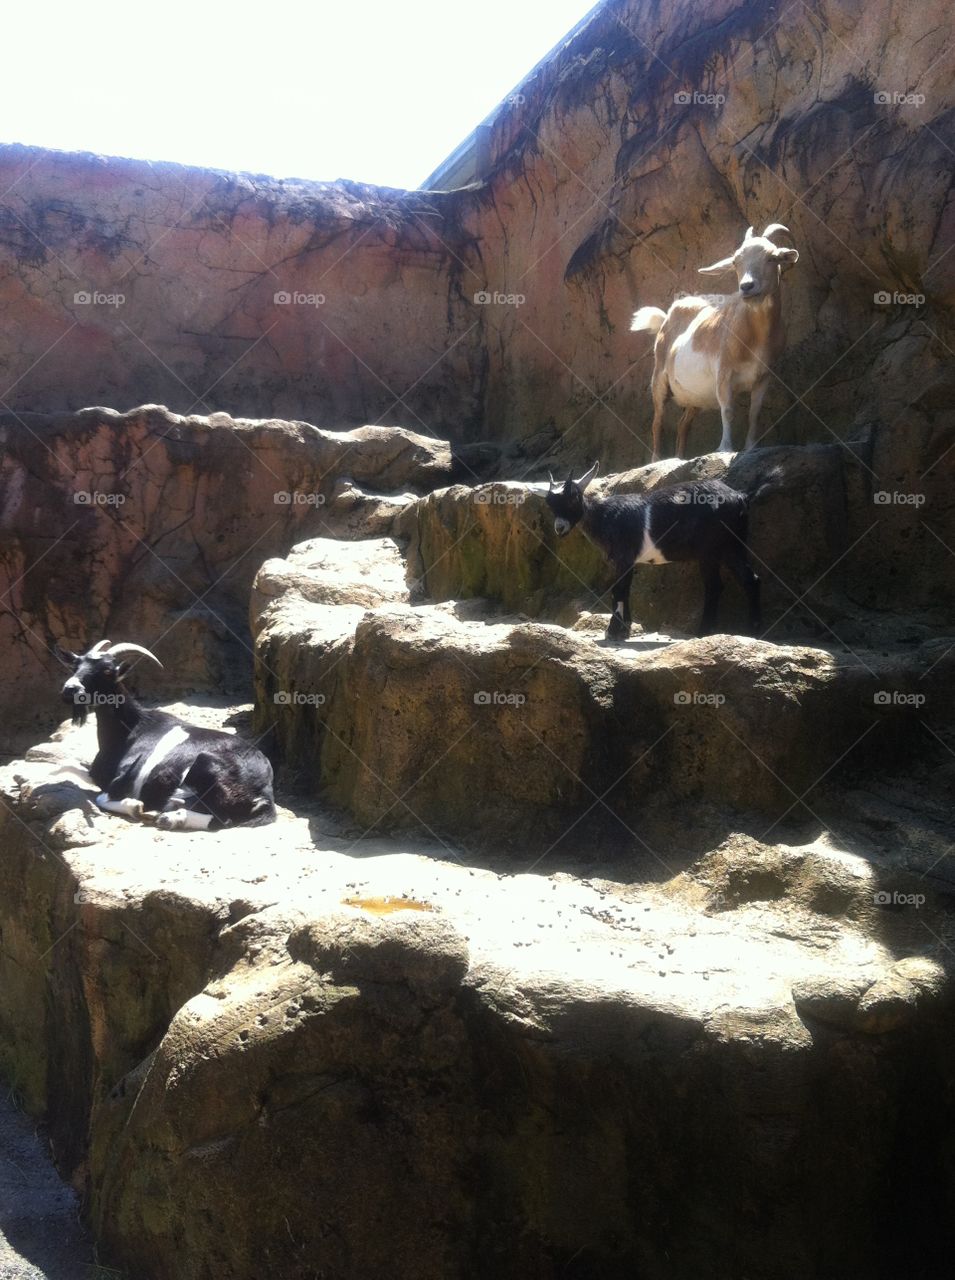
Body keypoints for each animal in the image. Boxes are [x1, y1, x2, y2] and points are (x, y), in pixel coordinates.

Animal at [57, 640, 276, 831]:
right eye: (76, 665)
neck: (130, 730)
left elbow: (101, 797)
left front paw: (136, 806)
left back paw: (169, 816)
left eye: (108, 671)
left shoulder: (125, 778)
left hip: (207, 763)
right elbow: (69, 767)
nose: (70, 689)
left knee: (222, 818)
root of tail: (264, 789)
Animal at [545, 463, 760, 641]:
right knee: (750, 579)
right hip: (733, 545)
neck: (604, 516)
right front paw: (624, 630)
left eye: (573, 499)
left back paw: (703, 632)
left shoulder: (623, 557)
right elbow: (626, 589)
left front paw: (612, 632)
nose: (560, 528)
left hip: (709, 549)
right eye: (550, 504)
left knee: (714, 585)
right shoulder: (628, 561)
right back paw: (753, 630)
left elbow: (617, 590)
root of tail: (740, 497)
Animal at [631, 224, 799, 461]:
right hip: (659, 379)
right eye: (736, 262)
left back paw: (680, 458)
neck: (755, 335)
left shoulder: (763, 376)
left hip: (693, 396)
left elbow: (754, 412)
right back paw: (656, 460)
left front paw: (751, 447)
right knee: (657, 420)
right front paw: (725, 448)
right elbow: (727, 410)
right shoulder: (724, 373)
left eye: (771, 258)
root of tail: (665, 318)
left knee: (683, 425)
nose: (747, 286)